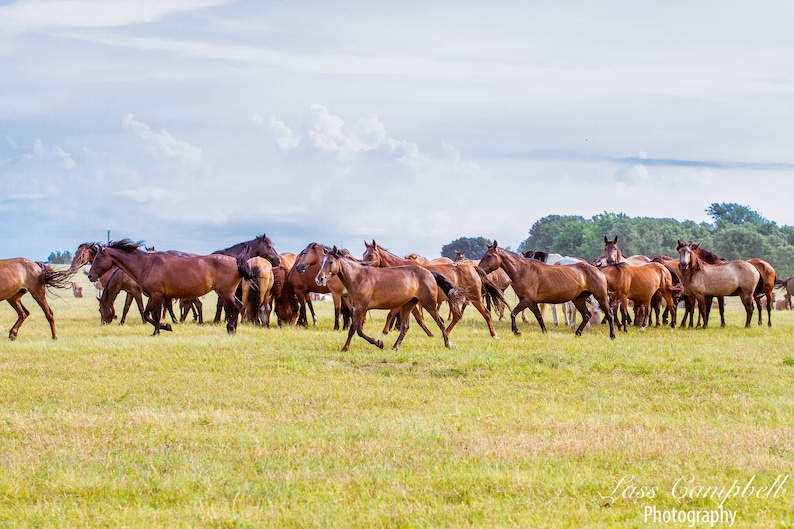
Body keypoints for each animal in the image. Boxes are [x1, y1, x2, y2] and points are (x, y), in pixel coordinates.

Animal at [87, 240, 258, 335]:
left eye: (98, 258)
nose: (90, 276)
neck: (146, 265)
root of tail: (236, 261)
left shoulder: (156, 295)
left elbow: (152, 314)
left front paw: (160, 330)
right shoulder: (153, 296)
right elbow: (148, 314)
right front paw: (164, 327)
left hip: (224, 292)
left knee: (236, 307)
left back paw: (230, 328)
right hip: (227, 292)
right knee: (238, 306)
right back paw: (232, 328)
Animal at [315, 246, 460, 351]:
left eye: (331, 262)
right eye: (322, 262)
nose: (319, 279)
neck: (358, 277)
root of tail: (429, 272)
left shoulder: (360, 308)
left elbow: (353, 329)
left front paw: (345, 348)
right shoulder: (362, 308)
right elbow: (359, 330)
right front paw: (379, 343)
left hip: (428, 303)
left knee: (440, 321)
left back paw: (448, 344)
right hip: (408, 305)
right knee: (405, 327)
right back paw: (395, 346)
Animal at [362, 241, 507, 338]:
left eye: (371, 255)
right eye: (364, 254)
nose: (362, 264)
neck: (402, 269)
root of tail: (472, 268)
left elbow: (392, 314)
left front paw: (384, 332)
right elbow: (418, 318)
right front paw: (430, 333)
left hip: (475, 298)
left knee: (486, 313)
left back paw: (493, 334)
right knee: (457, 316)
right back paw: (446, 332)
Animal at [478, 242, 616, 339]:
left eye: (489, 256)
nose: (478, 269)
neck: (523, 271)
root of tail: (598, 269)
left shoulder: (527, 301)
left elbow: (513, 313)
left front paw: (516, 332)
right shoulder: (531, 303)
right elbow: (539, 317)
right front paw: (545, 331)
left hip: (601, 296)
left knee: (609, 314)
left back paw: (612, 335)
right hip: (579, 299)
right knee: (587, 315)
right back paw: (578, 333)